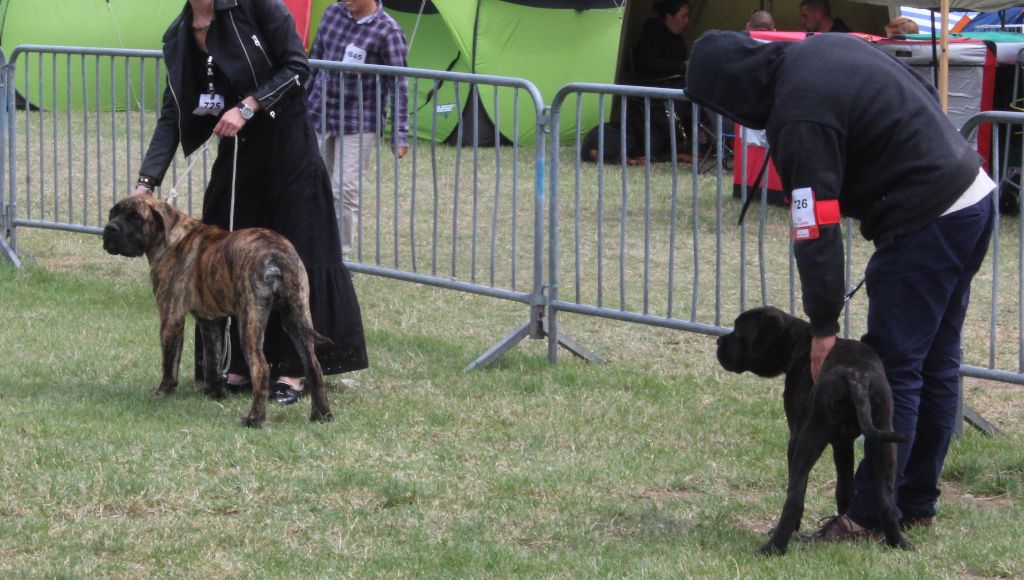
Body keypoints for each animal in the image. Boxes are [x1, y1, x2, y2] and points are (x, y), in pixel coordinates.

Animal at [102, 195, 331, 428]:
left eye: (136, 218)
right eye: (113, 213)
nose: (110, 228)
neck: (169, 237)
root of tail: (276, 253)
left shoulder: (171, 317)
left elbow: (170, 362)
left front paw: (163, 392)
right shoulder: (209, 320)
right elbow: (213, 359)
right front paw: (216, 392)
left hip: (250, 319)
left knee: (261, 369)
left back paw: (254, 419)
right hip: (297, 315)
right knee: (313, 366)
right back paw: (322, 415)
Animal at [716, 307, 909, 557]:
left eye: (739, 330)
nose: (719, 341)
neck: (797, 343)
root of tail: (856, 376)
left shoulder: (796, 437)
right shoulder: (843, 443)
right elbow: (844, 486)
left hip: (809, 439)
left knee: (794, 498)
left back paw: (773, 547)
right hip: (885, 438)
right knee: (885, 498)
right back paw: (899, 543)